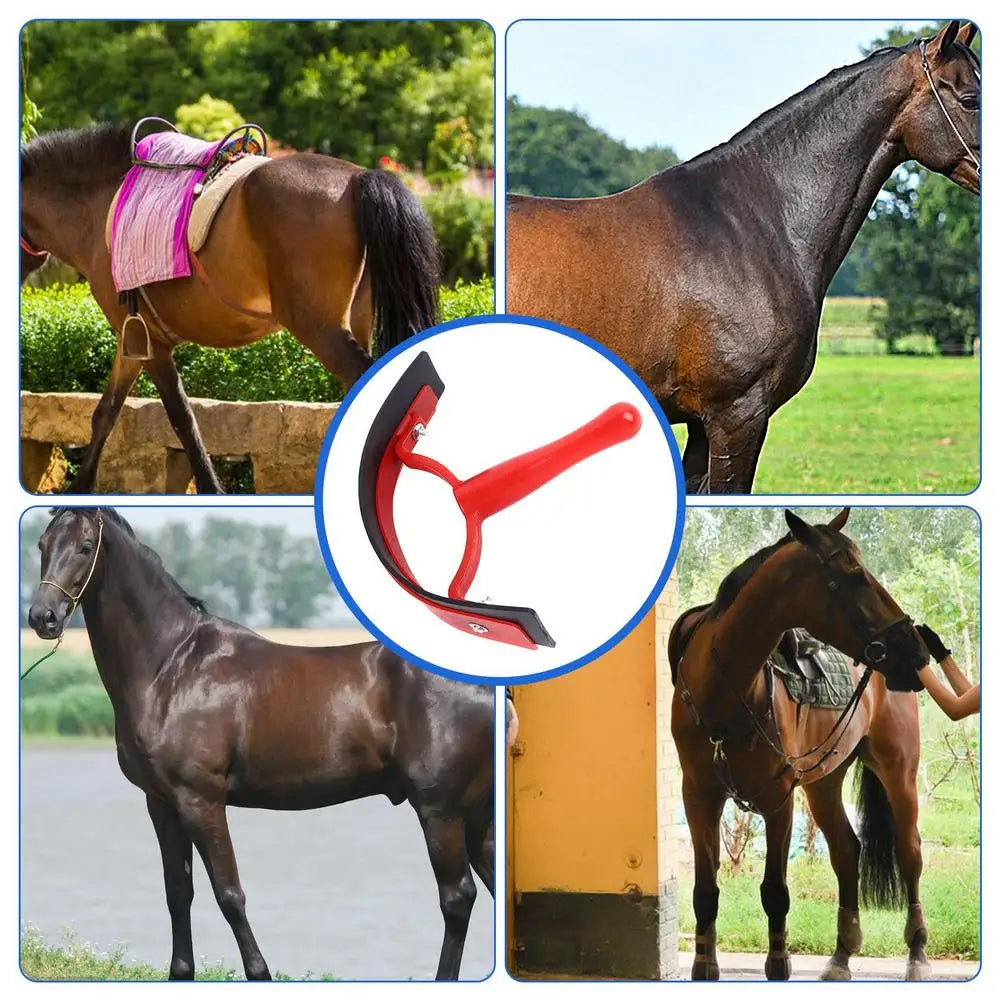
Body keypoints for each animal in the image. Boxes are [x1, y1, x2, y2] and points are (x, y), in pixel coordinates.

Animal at [20, 126, 440, 493]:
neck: (99, 207)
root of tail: (357, 180)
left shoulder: (149, 341)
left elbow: (182, 419)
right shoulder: (134, 340)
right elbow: (106, 412)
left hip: (320, 328)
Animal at [26, 507, 493, 981]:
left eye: (85, 546)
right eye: (42, 544)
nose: (43, 617)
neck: (171, 667)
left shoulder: (200, 801)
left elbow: (229, 894)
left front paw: (259, 973)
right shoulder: (160, 803)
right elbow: (178, 892)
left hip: (441, 811)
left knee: (457, 898)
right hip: (476, 816)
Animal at [669, 508, 933, 981]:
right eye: (852, 574)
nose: (917, 651)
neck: (723, 692)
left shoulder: (778, 799)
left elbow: (775, 891)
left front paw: (779, 962)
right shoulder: (698, 795)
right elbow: (705, 890)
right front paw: (704, 964)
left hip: (898, 771)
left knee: (910, 853)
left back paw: (917, 954)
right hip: (823, 782)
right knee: (846, 850)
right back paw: (841, 957)